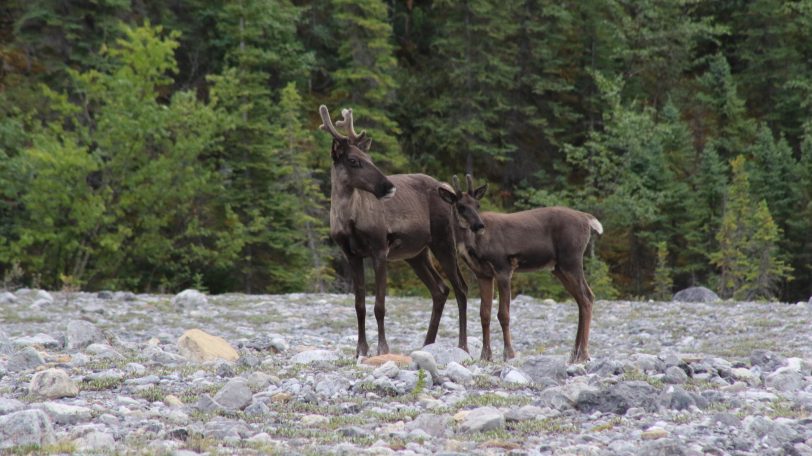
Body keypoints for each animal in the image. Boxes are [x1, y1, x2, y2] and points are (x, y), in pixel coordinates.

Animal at [318, 105, 470, 358]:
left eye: (369, 158)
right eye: (353, 160)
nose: (388, 186)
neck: (349, 220)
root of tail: (449, 189)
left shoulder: (380, 248)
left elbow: (380, 305)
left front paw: (382, 348)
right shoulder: (352, 254)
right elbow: (359, 305)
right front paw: (361, 350)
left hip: (444, 240)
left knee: (461, 288)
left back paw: (463, 346)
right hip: (417, 254)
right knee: (440, 289)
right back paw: (427, 344)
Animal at [438, 174, 603, 363]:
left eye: (477, 205)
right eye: (461, 206)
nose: (479, 226)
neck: (474, 245)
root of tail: (587, 219)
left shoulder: (503, 267)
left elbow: (503, 314)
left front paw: (509, 353)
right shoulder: (483, 274)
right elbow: (484, 313)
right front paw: (486, 356)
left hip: (572, 260)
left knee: (587, 297)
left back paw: (583, 354)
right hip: (559, 268)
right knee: (581, 300)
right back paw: (574, 354)